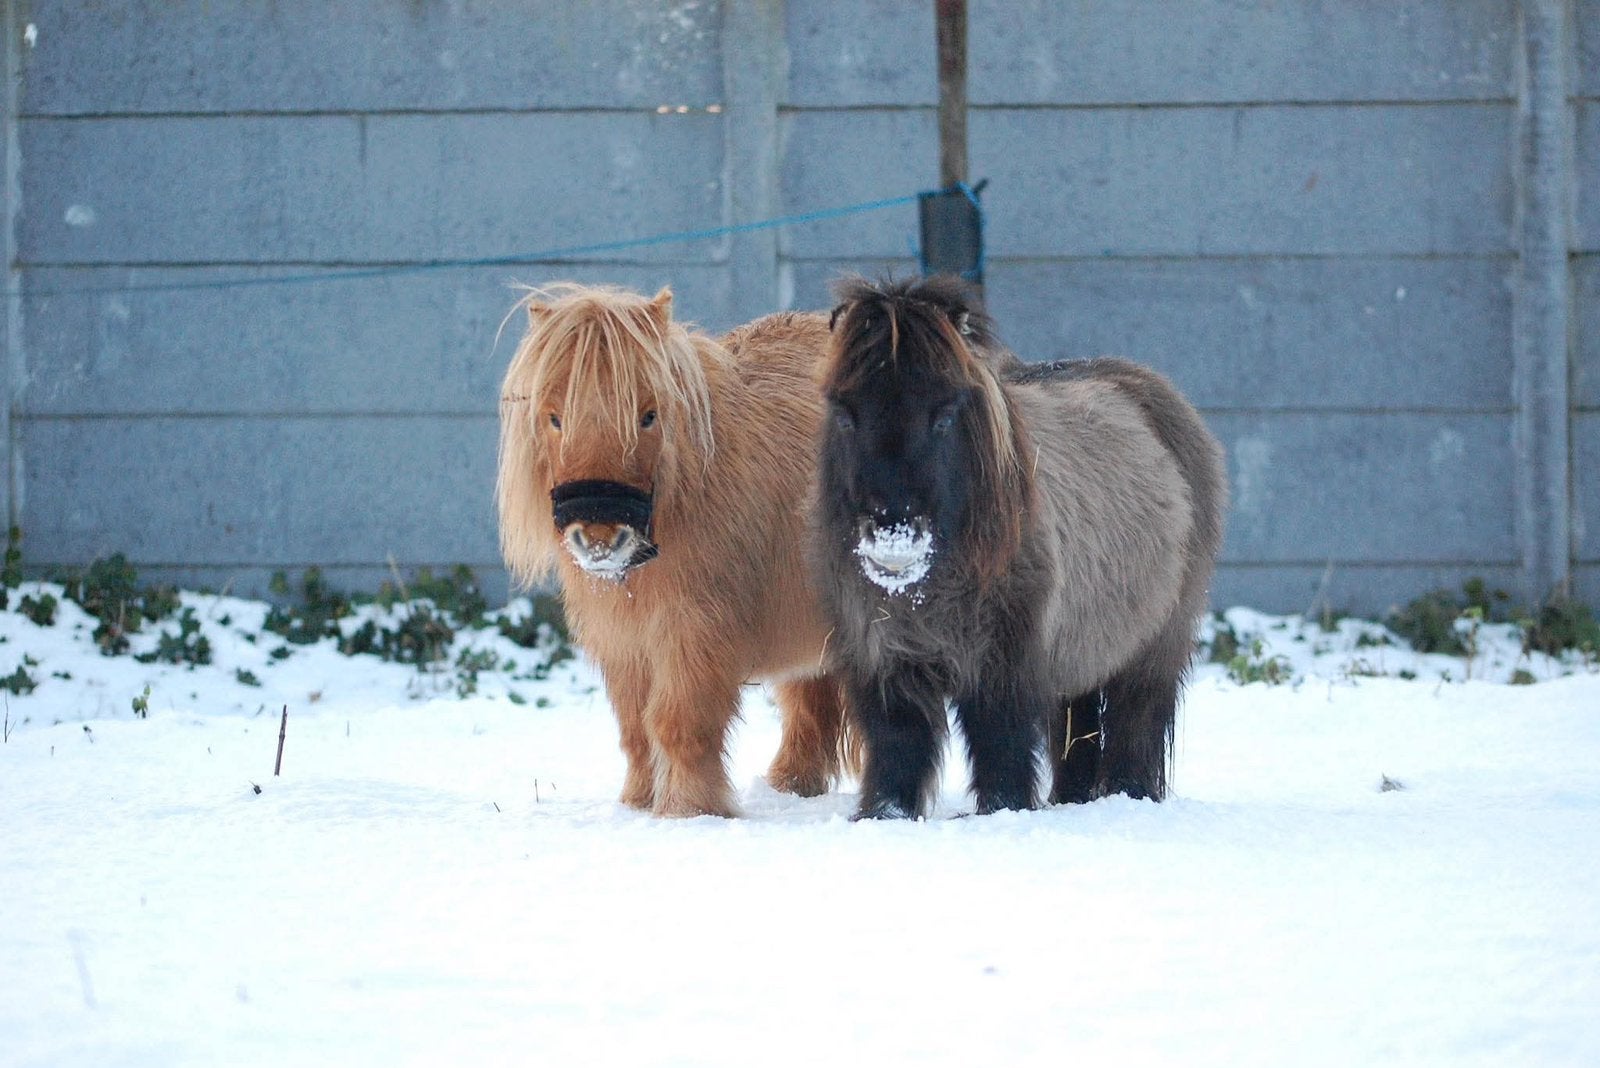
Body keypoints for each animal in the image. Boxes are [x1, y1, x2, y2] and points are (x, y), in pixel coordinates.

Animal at [497, 284, 852, 817]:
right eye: (554, 418)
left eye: (649, 415)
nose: (601, 538)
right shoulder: (623, 642)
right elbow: (635, 729)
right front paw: (638, 802)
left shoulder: (694, 631)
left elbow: (678, 723)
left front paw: (689, 809)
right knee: (810, 703)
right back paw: (790, 784)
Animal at [815, 275, 1227, 819]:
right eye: (844, 414)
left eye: (944, 415)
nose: (893, 540)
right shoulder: (883, 659)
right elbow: (897, 746)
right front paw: (885, 816)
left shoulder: (1003, 665)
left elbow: (999, 743)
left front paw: (1001, 812)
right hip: (1080, 655)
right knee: (1078, 730)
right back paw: (1072, 801)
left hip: (1154, 649)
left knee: (1134, 724)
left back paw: (1127, 796)